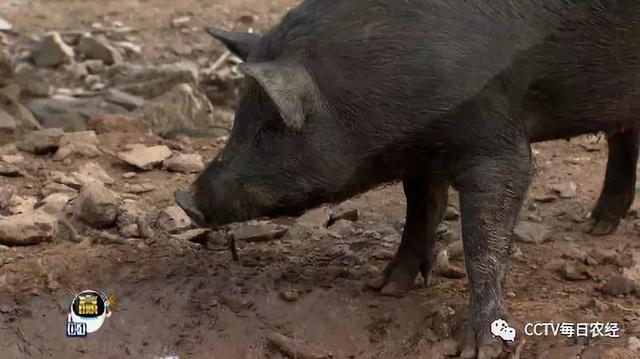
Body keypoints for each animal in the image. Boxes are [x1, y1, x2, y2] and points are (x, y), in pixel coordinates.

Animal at [175, 1, 640, 358]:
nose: (186, 200)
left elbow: (483, 240)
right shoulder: (419, 152)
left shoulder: (495, 137)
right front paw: (384, 287)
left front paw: (481, 349)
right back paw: (597, 228)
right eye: (239, 118)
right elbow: (421, 210)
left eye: (269, 127)